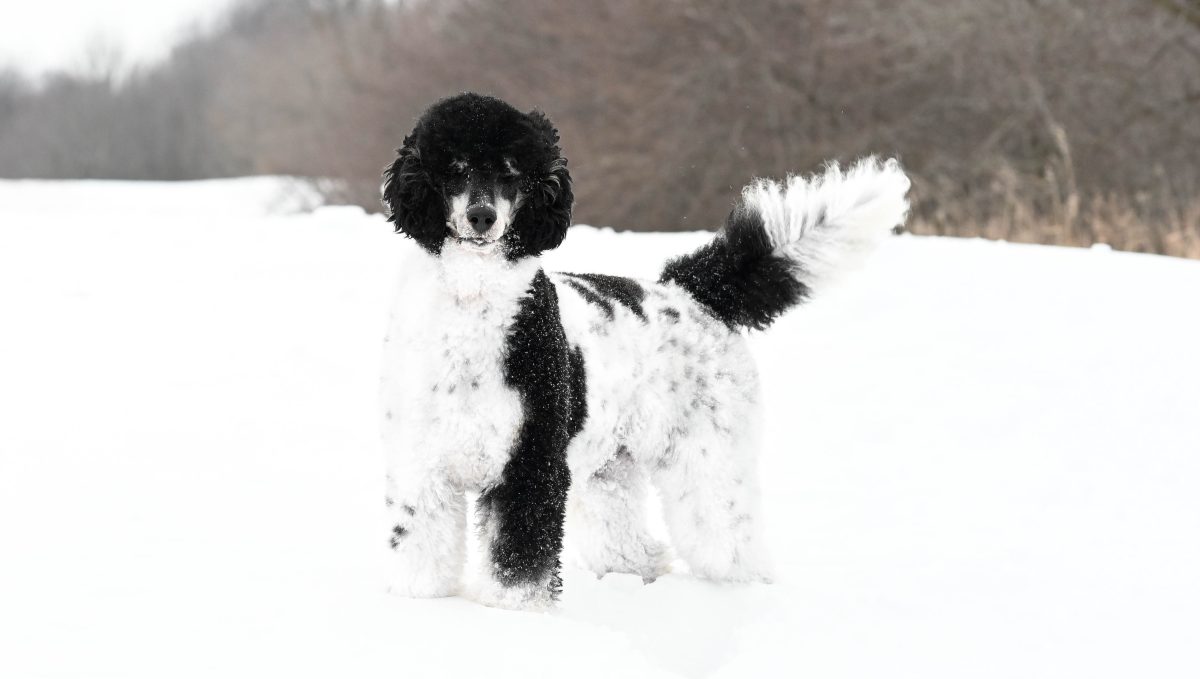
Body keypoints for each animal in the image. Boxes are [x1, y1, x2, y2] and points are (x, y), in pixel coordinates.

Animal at [378, 92, 910, 610]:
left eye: (511, 171)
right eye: (454, 167)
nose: (482, 216)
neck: (472, 299)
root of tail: (694, 291)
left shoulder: (531, 468)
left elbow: (520, 571)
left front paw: (514, 614)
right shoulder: (419, 468)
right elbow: (418, 551)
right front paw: (422, 603)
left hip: (710, 462)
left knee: (731, 544)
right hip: (611, 468)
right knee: (634, 545)